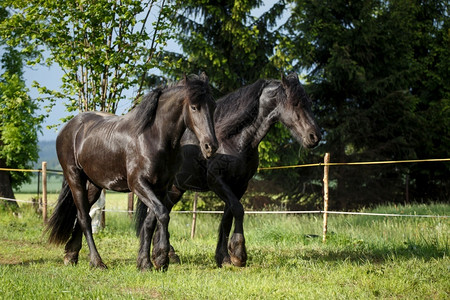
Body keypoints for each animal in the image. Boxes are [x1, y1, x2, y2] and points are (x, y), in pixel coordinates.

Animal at [46, 74, 219, 270]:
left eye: (213, 106)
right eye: (194, 107)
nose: (210, 146)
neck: (152, 137)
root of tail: (70, 127)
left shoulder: (161, 187)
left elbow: (151, 221)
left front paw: (145, 262)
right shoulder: (138, 184)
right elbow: (162, 213)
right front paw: (161, 259)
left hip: (94, 185)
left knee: (82, 215)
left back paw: (71, 255)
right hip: (74, 177)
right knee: (84, 218)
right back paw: (97, 262)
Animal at [136, 73, 320, 268]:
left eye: (308, 102)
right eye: (295, 103)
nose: (315, 136)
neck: (233, 139)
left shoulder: (239, 186)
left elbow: (227, 218)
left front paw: (223, 257)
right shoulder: (217, 182)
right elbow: (238, 210)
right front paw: (238, 254)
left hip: (175, 189)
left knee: (160, 214)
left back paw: (168, 254)